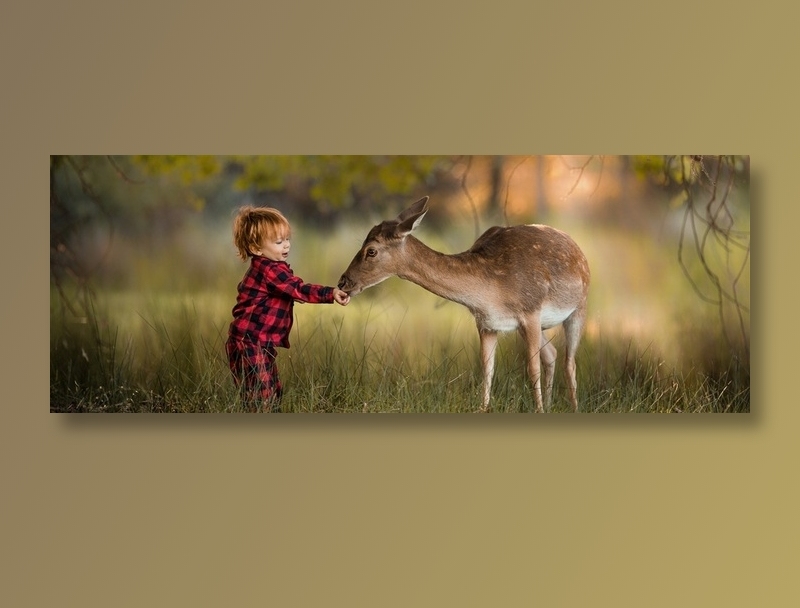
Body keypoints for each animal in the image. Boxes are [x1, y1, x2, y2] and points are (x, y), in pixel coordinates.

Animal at [334, 197, 592, 410]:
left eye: (371, 251)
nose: (343, 281)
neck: (491, 292)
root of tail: (578, 249)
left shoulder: (530, 311)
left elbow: (531, 368)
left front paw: (537, 411)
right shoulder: (487, 323)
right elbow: (487, 369)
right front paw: (483, 409)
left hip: (578, 308)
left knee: (570, 362)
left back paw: (573, 408)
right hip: (537, 326)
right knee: (552, 354)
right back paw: (550, 405)